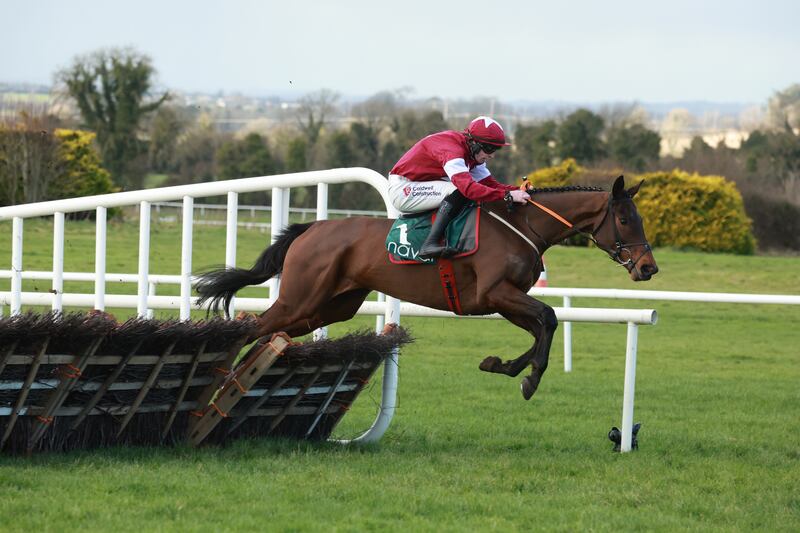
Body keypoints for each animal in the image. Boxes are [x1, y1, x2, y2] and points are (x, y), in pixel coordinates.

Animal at [194, 176, 656, 400]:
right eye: (626, 219)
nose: (648, 268)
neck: (523, 225)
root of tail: (311, 229)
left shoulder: (504, 300)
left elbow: (543, 326)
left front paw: (503, 366)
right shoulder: (496, 293)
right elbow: (549, 316)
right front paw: (530, 379)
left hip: (328, 307)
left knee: (267, 333)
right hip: (300, 299)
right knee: (253, 325)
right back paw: (219, 379)